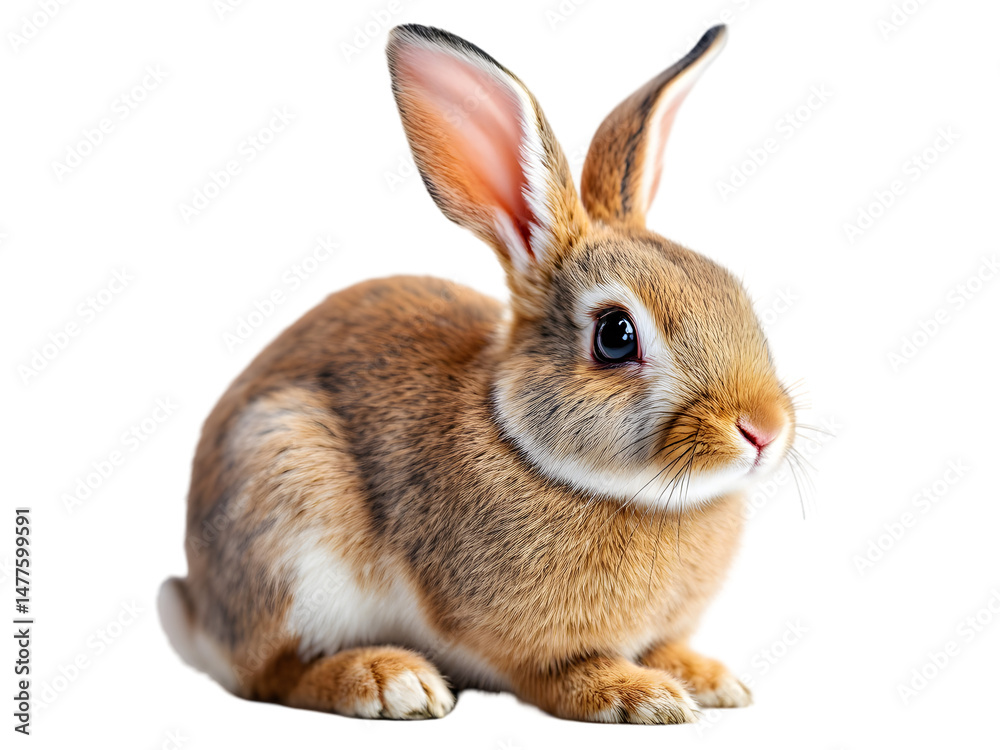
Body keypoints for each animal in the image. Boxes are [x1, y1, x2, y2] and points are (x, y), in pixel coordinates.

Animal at [158, 23, 796, 724]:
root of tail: (200, 613)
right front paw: (640, 695)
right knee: (270, 675)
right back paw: (390, 681)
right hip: (285, 502)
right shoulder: (507, 637)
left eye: (732, 292)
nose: (764, 430)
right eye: (615, 335)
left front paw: (710, 679)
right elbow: (555, 673)